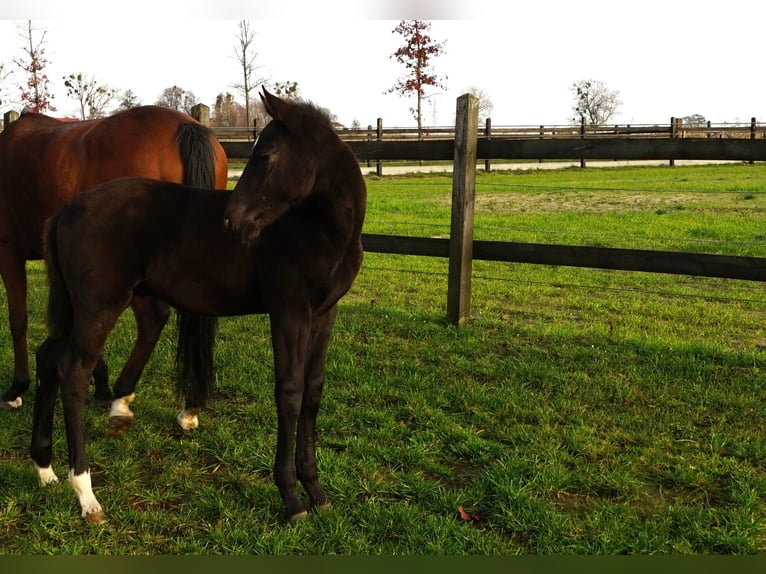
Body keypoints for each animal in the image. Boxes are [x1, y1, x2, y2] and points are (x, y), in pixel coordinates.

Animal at [0, 105, 228, 408]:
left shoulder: (8, 252)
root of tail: (184, 126)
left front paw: (17, 387)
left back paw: (123, 389)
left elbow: (18, 320)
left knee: (152, 319)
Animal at [31, 89, 367, 524]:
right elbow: (289, 393)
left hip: (77, 309)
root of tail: (66, 210)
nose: (232, 221)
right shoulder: (288, 313)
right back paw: (87, 495)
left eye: (266, 155)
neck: (318, 231)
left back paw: (44, 468)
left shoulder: (324, 314)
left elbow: (312, 391)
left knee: (48, 359)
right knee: (72, 374)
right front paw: (292, 498)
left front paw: (317, 491)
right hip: (98, 308)